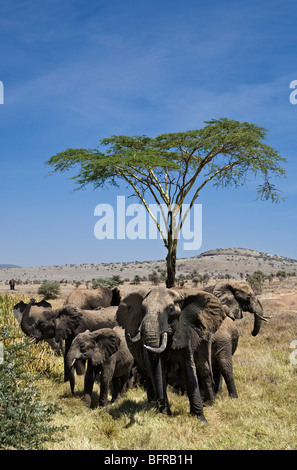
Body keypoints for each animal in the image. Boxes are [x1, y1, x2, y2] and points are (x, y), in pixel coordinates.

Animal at [115, 286, 224, 422]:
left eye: (171, 309)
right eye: (142, 309)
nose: (160, 402)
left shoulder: (185, 331)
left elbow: (189, 368)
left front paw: (201, 420)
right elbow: (158, 370)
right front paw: (164, 414)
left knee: (203, 368)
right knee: (149, 373)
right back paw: (151, 403)